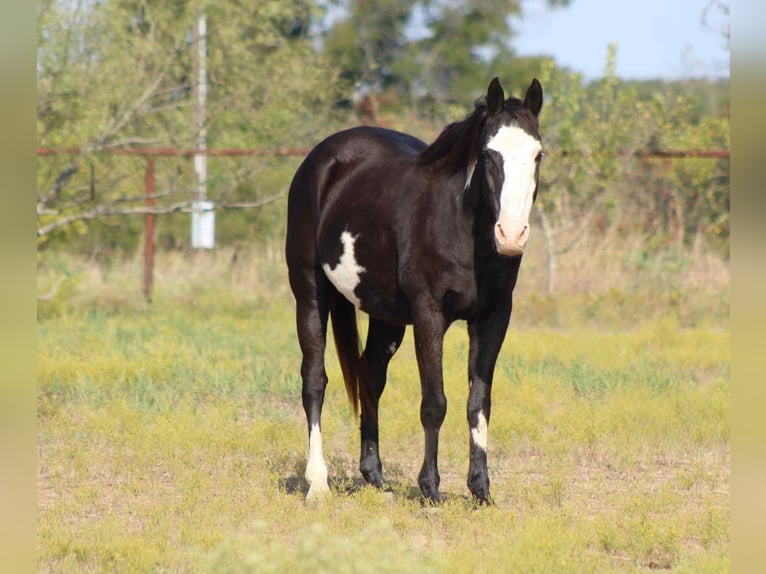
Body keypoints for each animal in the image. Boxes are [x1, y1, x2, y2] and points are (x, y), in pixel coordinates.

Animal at [285, 77, 543, 503]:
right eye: (489, 154)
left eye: (538, 155)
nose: (511, 235)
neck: (459, 223)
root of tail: (321, 159)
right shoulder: (428, 314)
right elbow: (434, 403)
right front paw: (431, 489)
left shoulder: (493, 318)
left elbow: (479, 402)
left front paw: (481, 490)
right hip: (309, 293)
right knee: (314, 381)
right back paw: (318, 484)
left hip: (385, 315)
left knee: (371, 374)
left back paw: (375, 477)